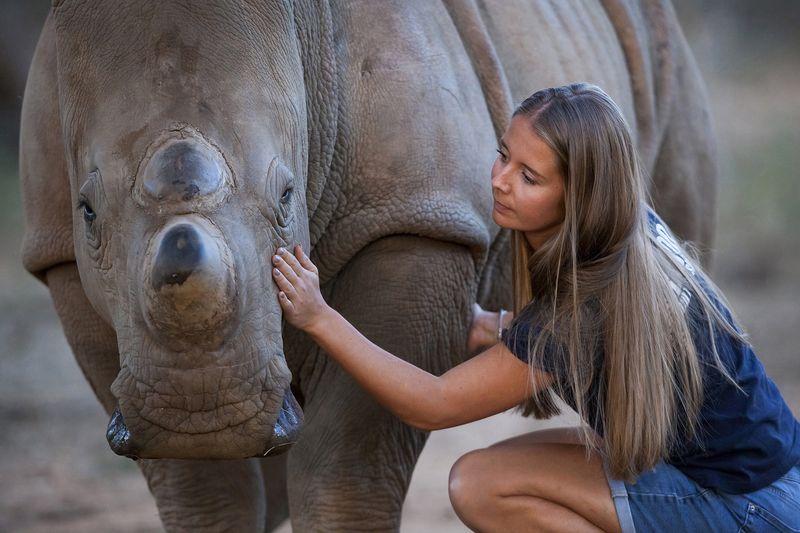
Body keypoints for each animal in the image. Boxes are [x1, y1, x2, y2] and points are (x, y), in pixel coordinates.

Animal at [20, 0, 716, 530]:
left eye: (287, 196)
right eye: (87, 210)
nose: (204, 412)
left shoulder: (415, 219)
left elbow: (345, 460)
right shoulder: (57, 250)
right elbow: (204, 490)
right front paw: (201, 447)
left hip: (666, 61)